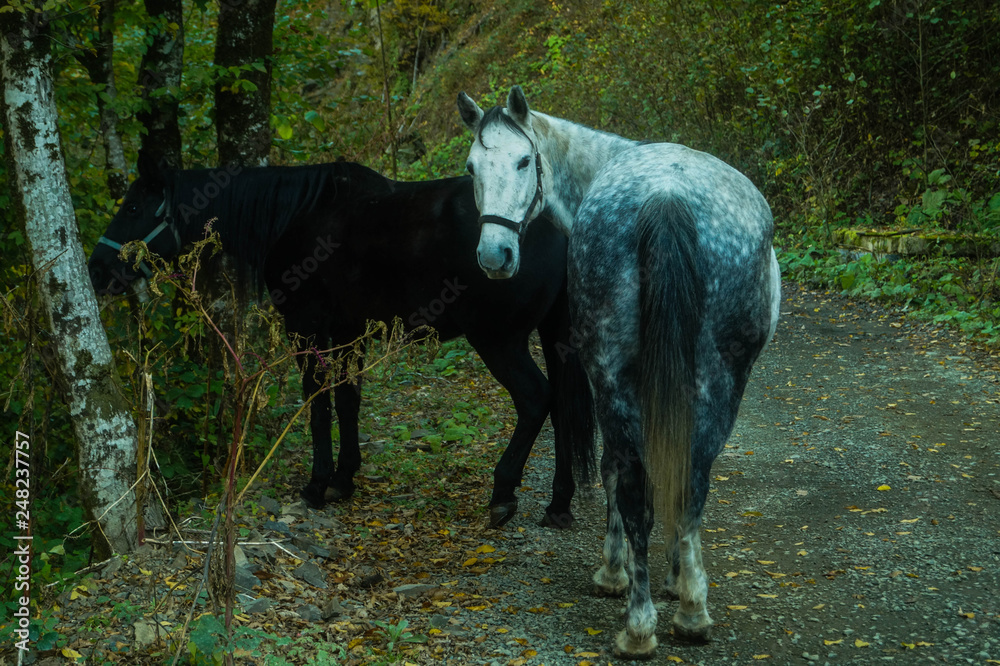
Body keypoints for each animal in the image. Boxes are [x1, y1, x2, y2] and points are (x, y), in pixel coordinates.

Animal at [87, 154, 595, 529]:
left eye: (132, 208)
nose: (96, 269)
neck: (295, 217)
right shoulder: (351, 330)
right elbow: (349, 400)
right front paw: (344, 478)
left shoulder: (306, 327)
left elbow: (317, 402)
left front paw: (317, 484)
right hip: (553, 335)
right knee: (562, 406)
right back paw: (559, 504)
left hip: (498, 340)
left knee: (536, 399)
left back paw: (503, 491)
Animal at [456, 86, 780, 657]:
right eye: (473, 167)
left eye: (523, 161)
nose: (495, 255)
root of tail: (668, 198)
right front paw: (675, 579)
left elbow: (615, 471)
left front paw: (615, 573)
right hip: (722, 382)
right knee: (693, 479)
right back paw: (691, 612)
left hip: (614, 377)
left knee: (630, 480)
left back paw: (638, 625)